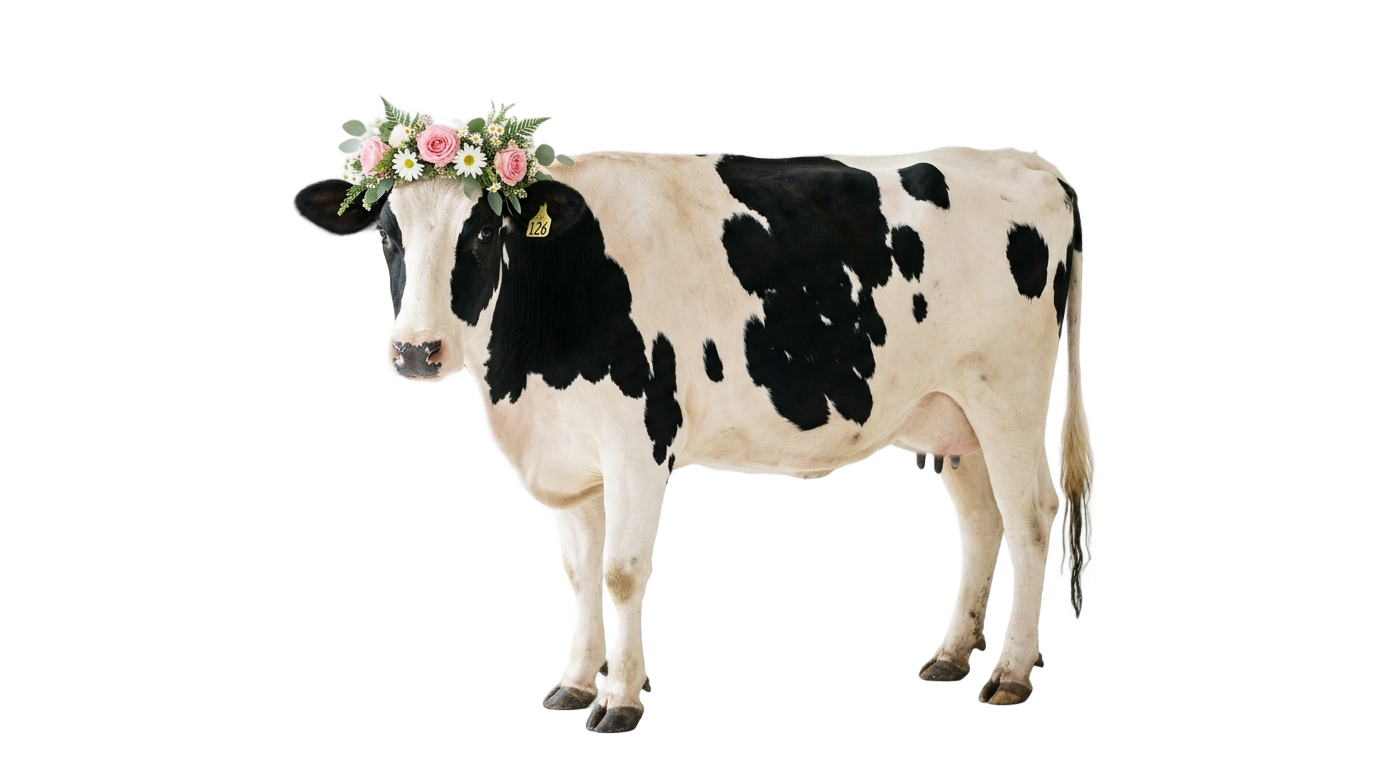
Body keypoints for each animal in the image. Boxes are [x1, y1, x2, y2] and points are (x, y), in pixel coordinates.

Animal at [294, 145, 1091, 733]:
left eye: (484, 231)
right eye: (387, 234)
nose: (415, 350)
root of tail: (1031, 167)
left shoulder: (638, 443)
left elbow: (621, 572)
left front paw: (622, 703)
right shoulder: (569, 457)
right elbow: (580, 575)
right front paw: (575, 685)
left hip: (1011, 399)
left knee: (1029, 525)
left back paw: (1012, 674)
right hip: (953, 413)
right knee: (981, 525)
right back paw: (952, 657)